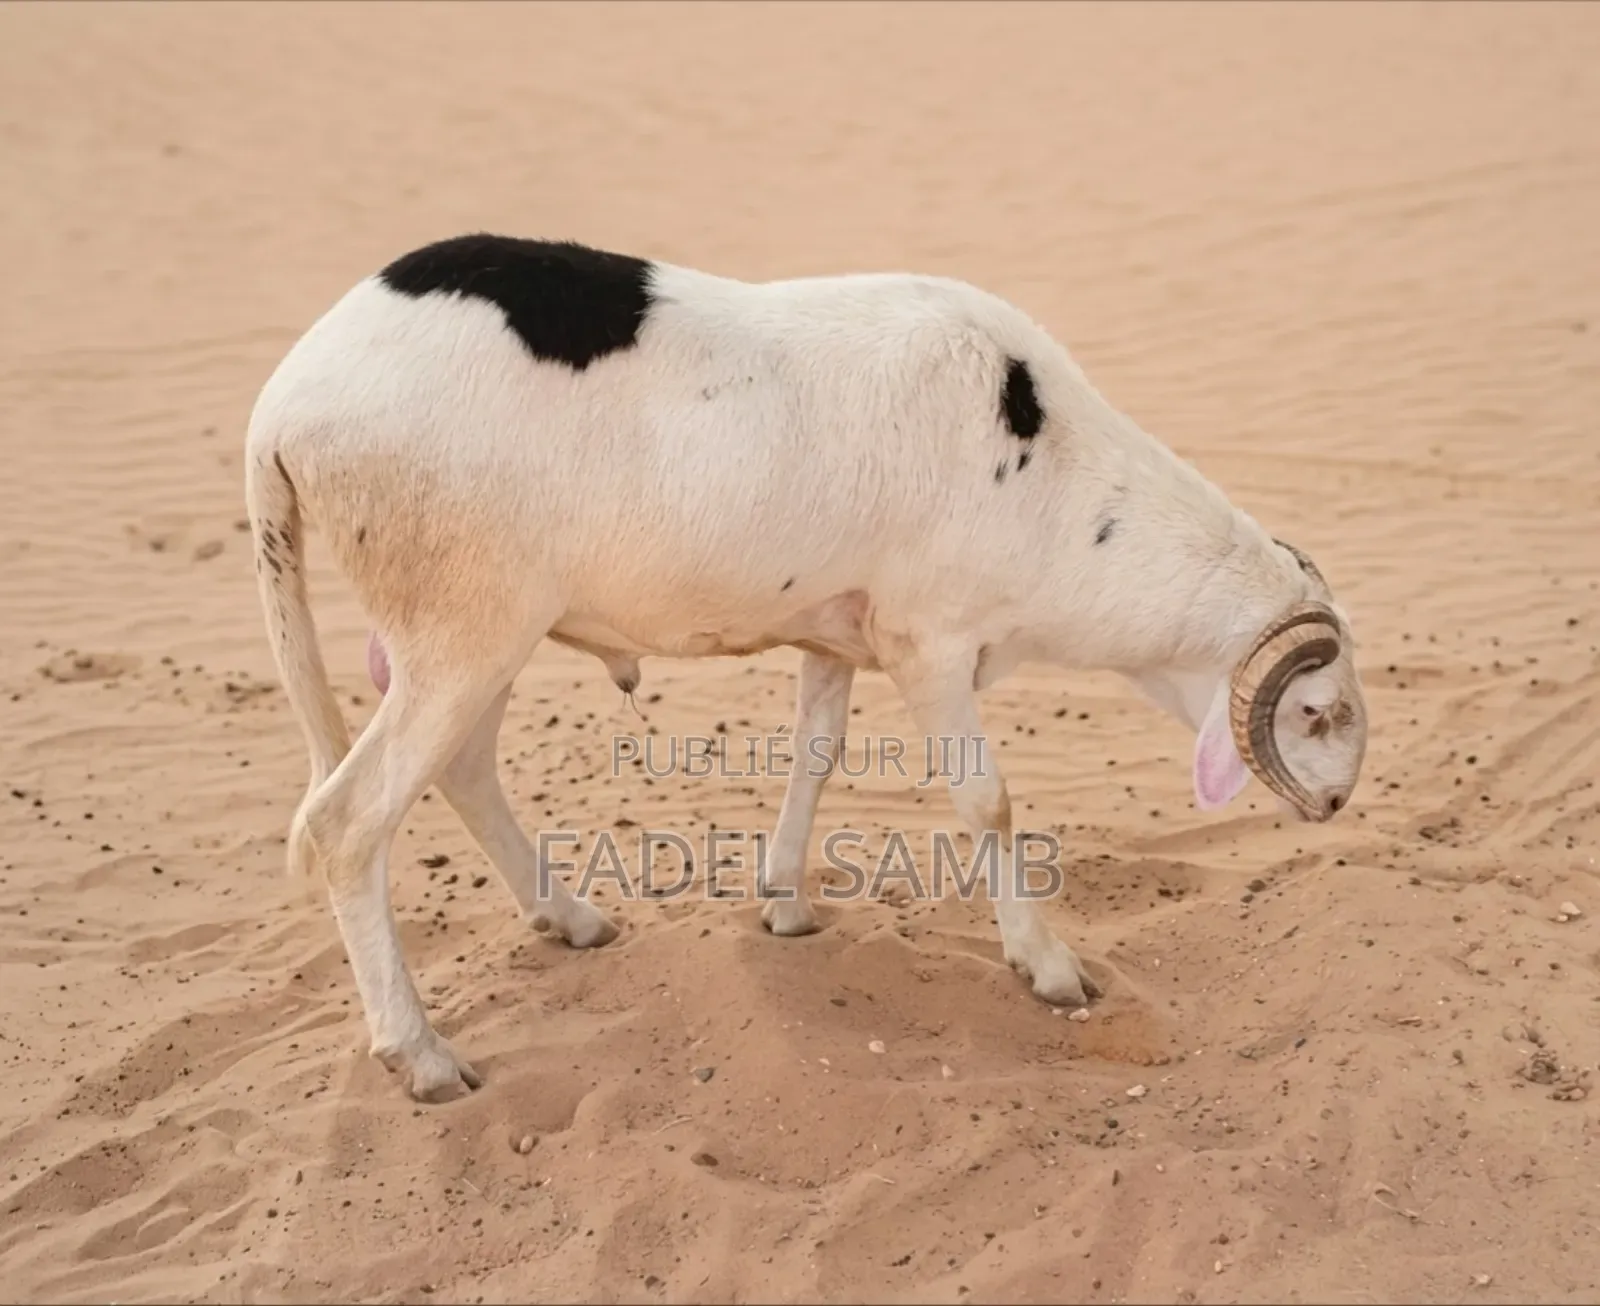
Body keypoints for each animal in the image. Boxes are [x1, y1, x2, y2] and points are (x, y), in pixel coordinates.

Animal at [244, 233, 1369, 1103]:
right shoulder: (931, 643)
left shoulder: (836, 637)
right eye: (1313, 710)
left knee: (466, 767)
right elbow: (987, 800)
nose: (1336, 802)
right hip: (464, 624)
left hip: (479, 633)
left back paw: (568, 918)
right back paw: (422, 1055)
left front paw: (784, 903)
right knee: (346, 824)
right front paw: (1047, 966)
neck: (1064, 487)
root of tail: (281, 409)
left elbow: (817, 753)